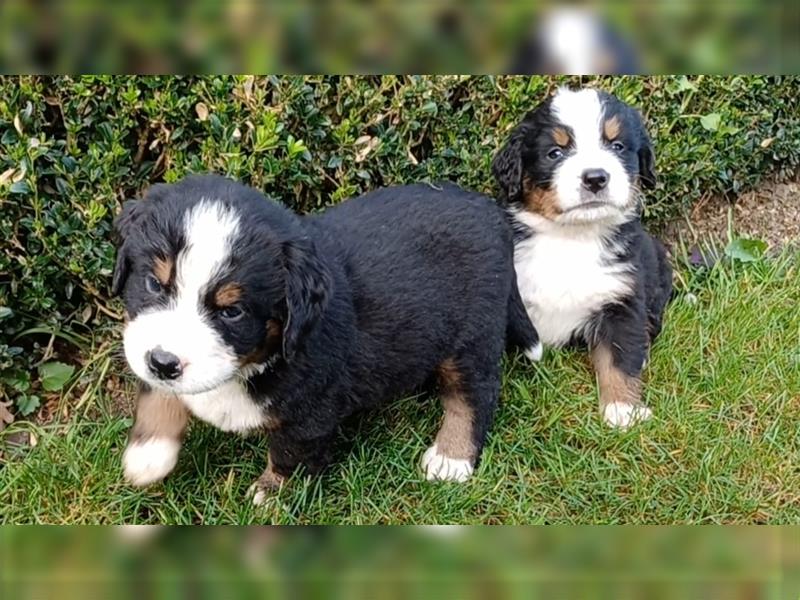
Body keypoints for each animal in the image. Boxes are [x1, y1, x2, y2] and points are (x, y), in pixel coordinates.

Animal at [112, 173, 536, 502]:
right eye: (153, 283)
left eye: (232, 311)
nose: (163, 362)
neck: (256, 361)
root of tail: (489, 211)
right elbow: (156, 395)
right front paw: (148, 453)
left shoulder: (310, 409)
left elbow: (290, 455)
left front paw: (272, 496)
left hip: (473, 337)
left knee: (474, 395)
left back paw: (451, 458)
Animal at [490, 86, 672, 428]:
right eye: (555, 153)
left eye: (617, 146)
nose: (596, 178)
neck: (572, 238)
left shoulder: (621, 300)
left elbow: (619, 358)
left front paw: (622, 409)